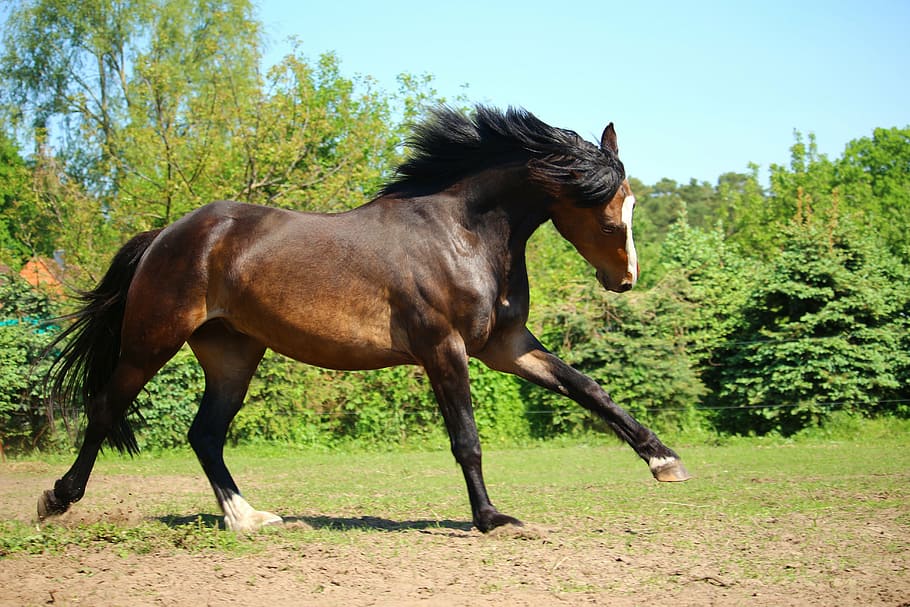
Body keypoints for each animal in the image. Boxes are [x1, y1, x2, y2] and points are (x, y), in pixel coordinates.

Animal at [37, 107, 692, 536]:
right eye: (608, 216)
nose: (625, 280)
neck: (463, 233)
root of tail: (166, 235)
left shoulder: (506, 345)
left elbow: (590, 389)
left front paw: (664, 461)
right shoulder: (444, 347)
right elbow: (466, 438)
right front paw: (490, 519)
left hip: (232, 355)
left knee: (205, 435)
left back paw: (248, 519)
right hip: (151, 341)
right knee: (105, 409)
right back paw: (57, 500)